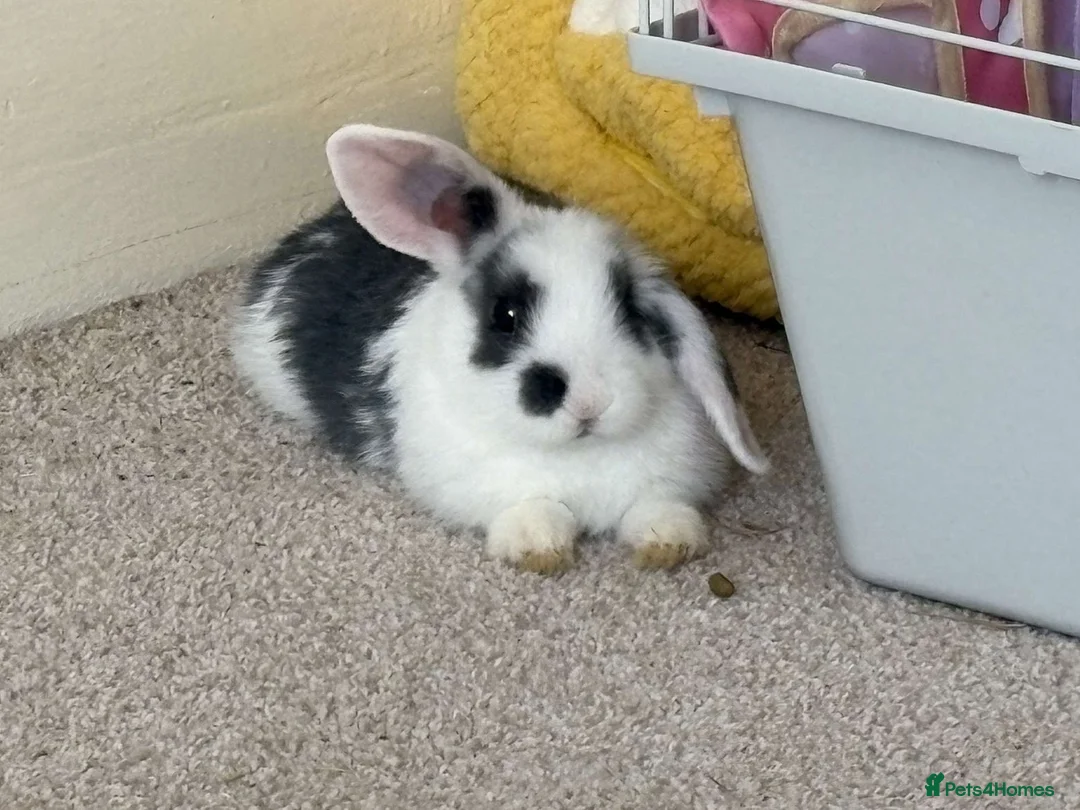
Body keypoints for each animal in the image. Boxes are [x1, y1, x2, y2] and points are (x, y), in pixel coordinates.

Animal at [231, 123, 770, 575]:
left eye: (630, 310)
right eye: (504, 316)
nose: (590, 402)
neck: (577, 454)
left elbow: (655, 507)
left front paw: (668, 544)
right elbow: (528, 507)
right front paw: (539, 550)